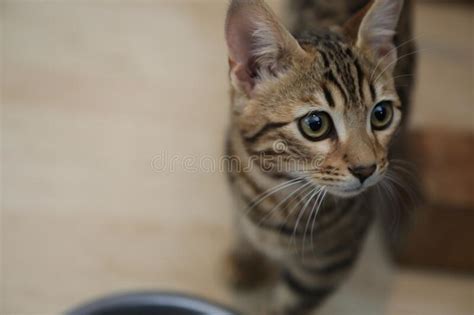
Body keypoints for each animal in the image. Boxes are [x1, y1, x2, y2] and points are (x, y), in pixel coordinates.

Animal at [224, 0, 412, 315]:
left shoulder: (326, 265)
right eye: (315, 124)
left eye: (381, 114)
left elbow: (288, 305)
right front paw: (245, 259)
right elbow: (241, 223)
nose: (366, 169)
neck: (278, 187)